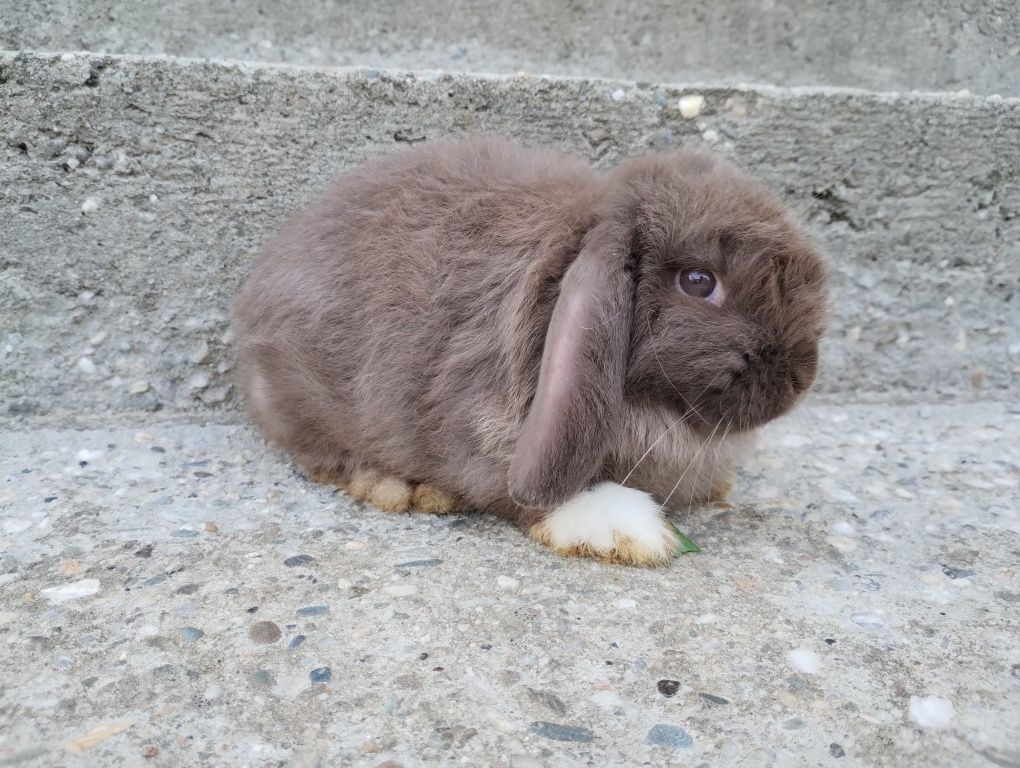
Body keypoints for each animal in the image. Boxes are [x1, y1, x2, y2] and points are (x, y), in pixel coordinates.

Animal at [233, 133, 828, 562]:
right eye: (699, 282)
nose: (799, 380)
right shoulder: (485, 430)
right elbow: (529, 493)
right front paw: (628, 531)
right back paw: (398, 487)